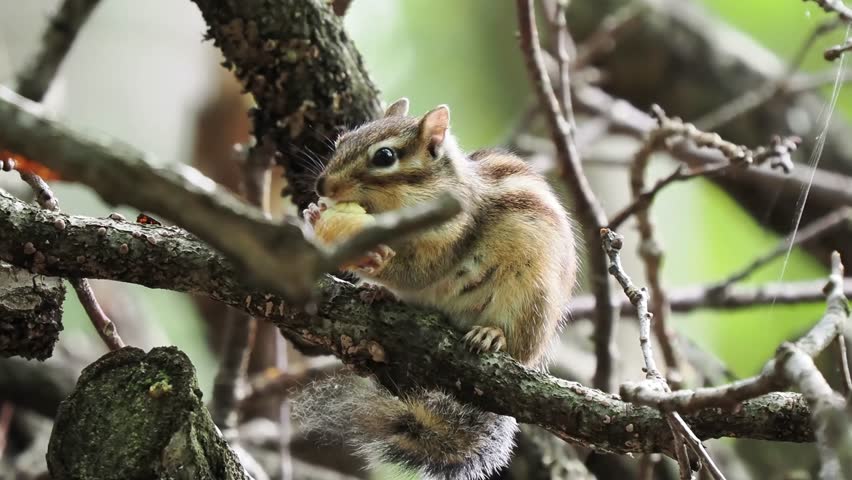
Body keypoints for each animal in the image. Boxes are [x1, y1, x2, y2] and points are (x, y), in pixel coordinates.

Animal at [293, 98, 578, 480]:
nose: (322, 186)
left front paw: (374, 259)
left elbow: (419, 272)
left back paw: (491, 335)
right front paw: (313, 215)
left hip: (530, 301)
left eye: (384, 157)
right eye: (341, 141)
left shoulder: (451, 233)